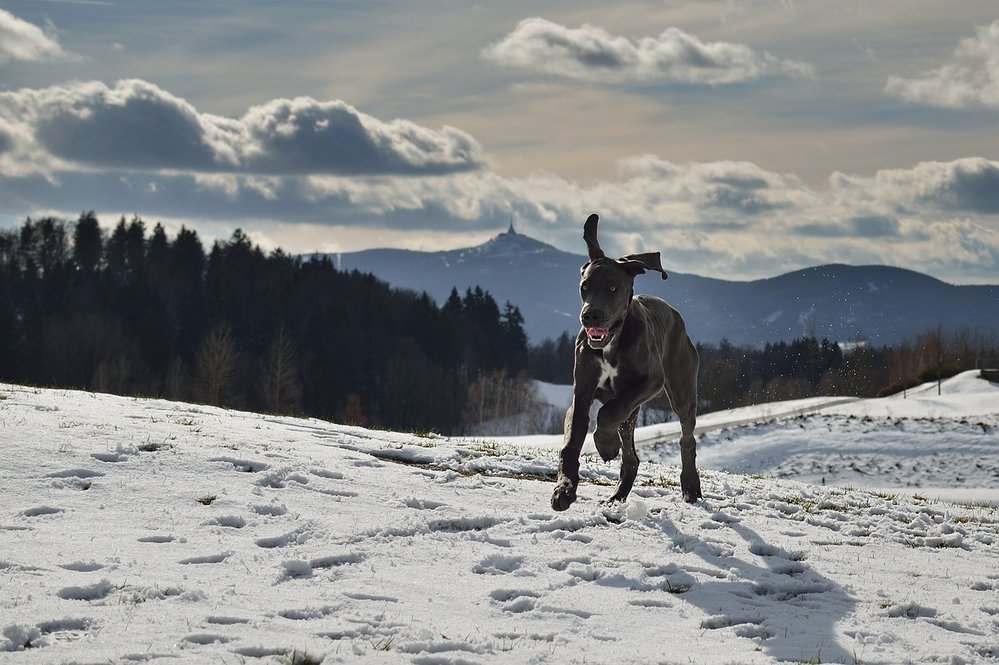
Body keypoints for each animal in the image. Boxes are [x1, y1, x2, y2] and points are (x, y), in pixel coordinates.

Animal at [556, 213, 704, 508]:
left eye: (613, 287)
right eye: (584, 287)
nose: (590, 315)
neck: (611, 343)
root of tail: (675, 315)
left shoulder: (652, 381)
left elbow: (607, 413)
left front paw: (605, 444)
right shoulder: (582, 391)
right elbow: (572, 441)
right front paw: (564, 489)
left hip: (681, 391)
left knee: (686, 437)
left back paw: (690, 485)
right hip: (633, 412)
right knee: (631, 457)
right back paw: (617, 495)